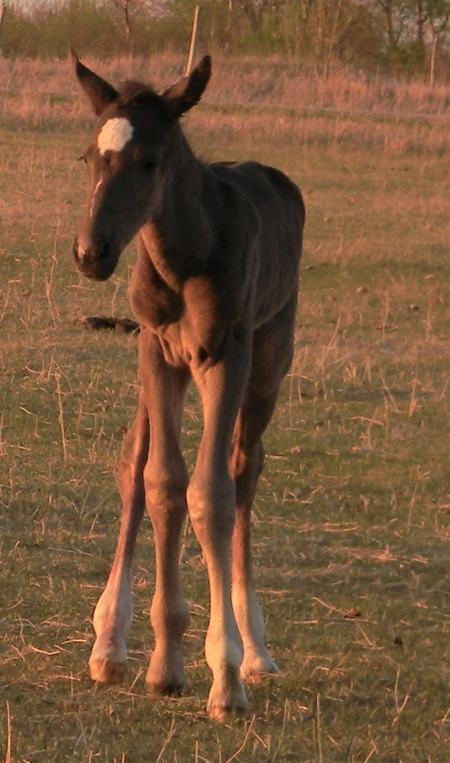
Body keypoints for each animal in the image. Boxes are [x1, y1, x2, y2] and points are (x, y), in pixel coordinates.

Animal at [72, 52, 305, 720]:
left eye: (150, 161)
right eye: (90, 157)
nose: (90, 252)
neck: (185, 255)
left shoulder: (225, 355)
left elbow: (212, 493)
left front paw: (223, 675)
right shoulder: (156, 353)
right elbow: (161, 481)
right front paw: (162, 660)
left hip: (268, 362)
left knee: (245, 467)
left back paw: (255, 649)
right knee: (135, 459)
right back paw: (108, 640)